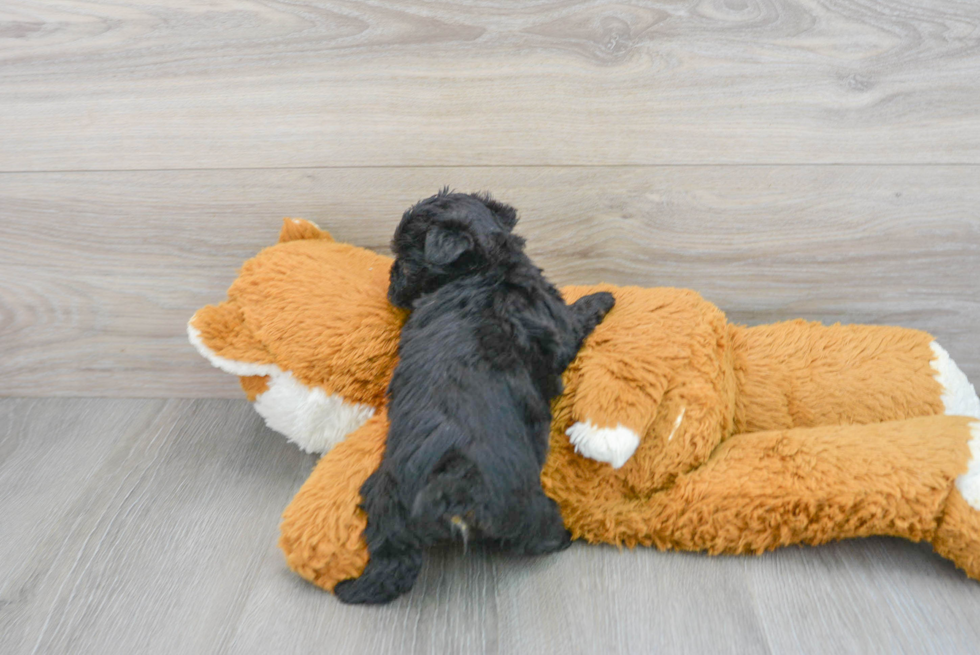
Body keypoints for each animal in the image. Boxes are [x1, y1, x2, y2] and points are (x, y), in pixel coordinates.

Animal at [334, 190, 612, 604]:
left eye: (405, 260)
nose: (390, 282)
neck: (484, 270)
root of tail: (449, 489)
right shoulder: (559, 326)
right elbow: (577, 315)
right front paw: (604, 295)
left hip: (384, 510)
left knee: (390, 568)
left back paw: (351, 587)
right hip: (524, 504)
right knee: (539, 533)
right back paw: (566, 537)